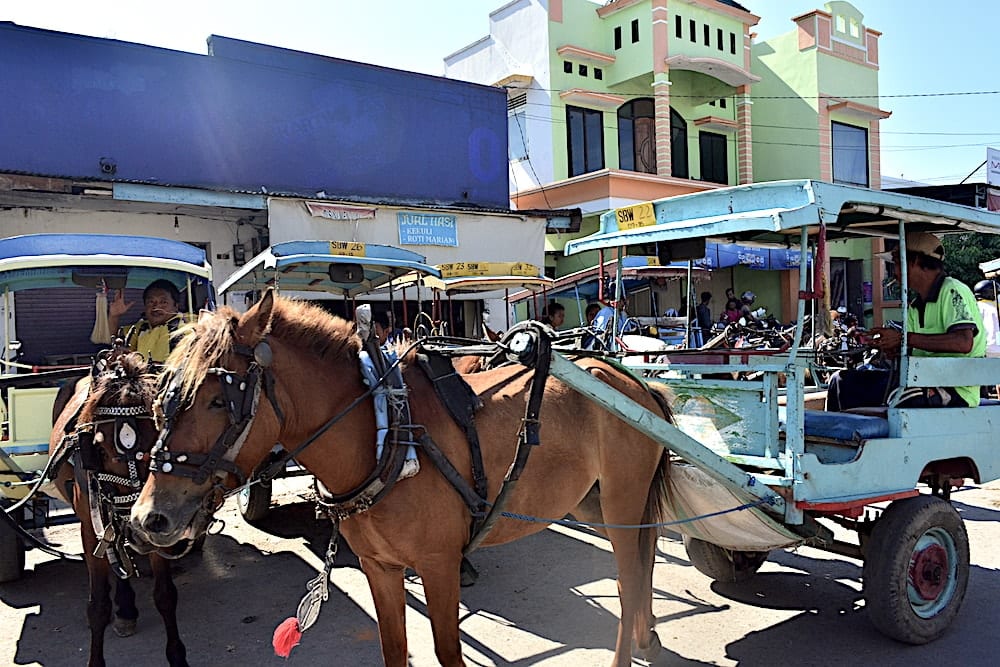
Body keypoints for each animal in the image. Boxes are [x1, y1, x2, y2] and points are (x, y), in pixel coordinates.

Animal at [49, 352, 189, 664]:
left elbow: (165, 595)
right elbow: (98, 606)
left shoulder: (154, 528)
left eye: (157, 440)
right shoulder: (91, 531)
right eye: (99, 450)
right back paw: (124, 608)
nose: (134, 524)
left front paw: (177, 657)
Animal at [129, 294, 672, 667]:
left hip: (622, 503)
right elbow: (394, 648)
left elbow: (447, 653)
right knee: (637, 571)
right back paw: (647, 637)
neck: (385, 434)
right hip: (594, 504)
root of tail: (634, 382)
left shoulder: (439, 565)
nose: (147, 518)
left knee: (628, 580)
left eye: (217, 401)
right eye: (162, 399)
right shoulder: (380, 567)